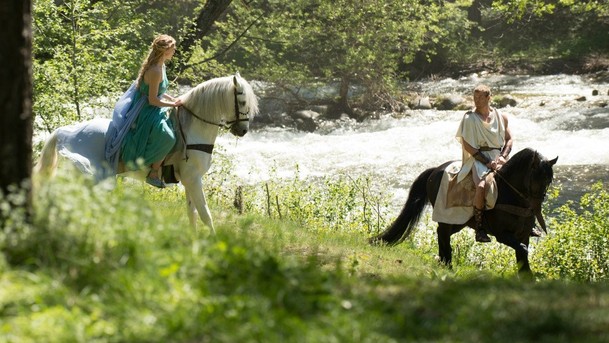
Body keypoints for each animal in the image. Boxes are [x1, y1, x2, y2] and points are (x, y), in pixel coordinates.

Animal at [35, 74, 258, 235]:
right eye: (242, 101)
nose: (243, 130)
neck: (193, 130)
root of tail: (64, 132)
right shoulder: (193, 179)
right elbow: (205, 214)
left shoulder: (189, 181)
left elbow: (192, 213)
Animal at [370, 148, 556, 274]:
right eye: (536, 177)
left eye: (549, 180)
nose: (536, 206)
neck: (510, 195)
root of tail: (435, 170)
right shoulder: (503, 235)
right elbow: (523, 250)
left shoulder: (523, 234)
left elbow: (522, 254)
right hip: (446, 218)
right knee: (443, 234)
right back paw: (447, 264)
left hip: (458, 222)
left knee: (441, 234)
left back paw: (443, 262)